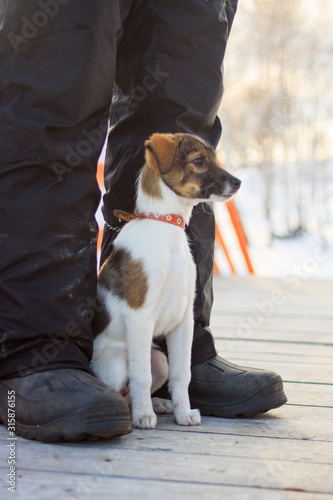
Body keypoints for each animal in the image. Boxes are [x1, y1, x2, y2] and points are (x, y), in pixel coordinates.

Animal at [91, 133, 241, 430]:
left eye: (213, 158)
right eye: (198, 161)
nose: (238, 182)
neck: (166, 225)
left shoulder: (184, 319)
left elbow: (182, 375)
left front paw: (183, 414)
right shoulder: (139, 315)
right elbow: (141, 376)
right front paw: (143, 416)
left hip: (160, 360)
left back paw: (158, 404)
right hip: (116, 363)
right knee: (123, 387)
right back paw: (131, 411)